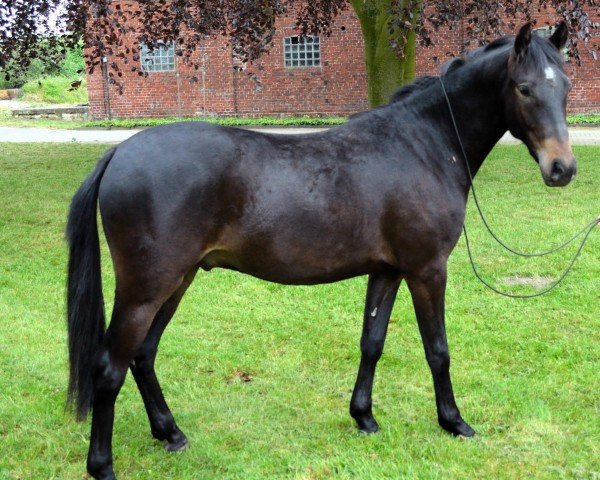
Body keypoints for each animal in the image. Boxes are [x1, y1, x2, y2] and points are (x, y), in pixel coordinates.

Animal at [67, 23, 576, 480]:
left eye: (566, 87)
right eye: (525, 88)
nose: (562, 168)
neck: (424, 145)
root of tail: (120, 153)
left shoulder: (387, 271)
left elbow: (372, 343)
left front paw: (364, 416)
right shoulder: (427, 270)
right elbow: (438, 349)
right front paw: (453, 422)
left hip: (177, 281)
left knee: (143, 355)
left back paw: (170, 433)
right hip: (145, 290)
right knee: (110, 369)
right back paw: (103, 465)